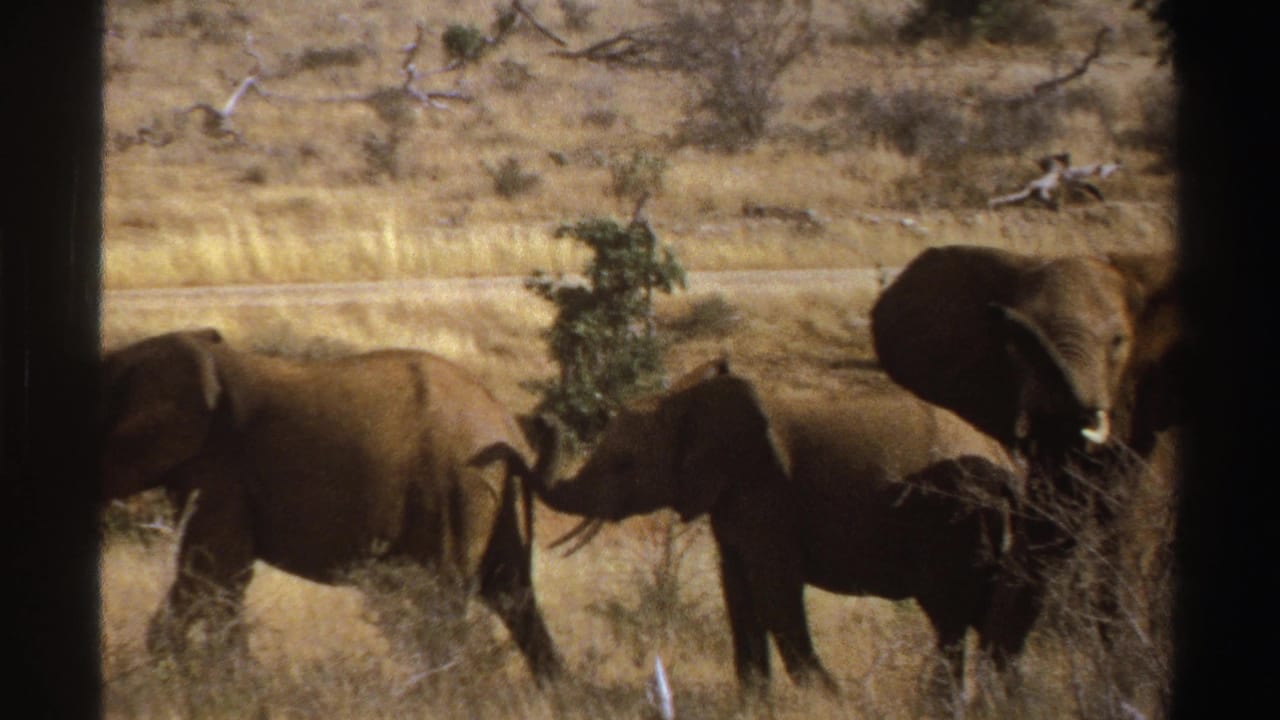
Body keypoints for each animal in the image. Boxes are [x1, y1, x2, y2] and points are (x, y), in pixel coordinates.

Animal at [100, 328, 564, 683]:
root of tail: (506, 424)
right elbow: (224, 580)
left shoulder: (220, 471)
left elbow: (211, 572)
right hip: (490, 495)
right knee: (512, 593)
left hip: (457, 487)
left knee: (445, 599)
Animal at [528, 357, 1030, 699]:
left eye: (624, 464)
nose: (541, 419)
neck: (685, 399)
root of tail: (1006, 467)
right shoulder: (734, 499)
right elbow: (737, 591)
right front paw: (754, 700)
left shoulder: (767, 492)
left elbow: (773, 592)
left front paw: (829, 697)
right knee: (988, 613)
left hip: (953, 518)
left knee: (951, 614)